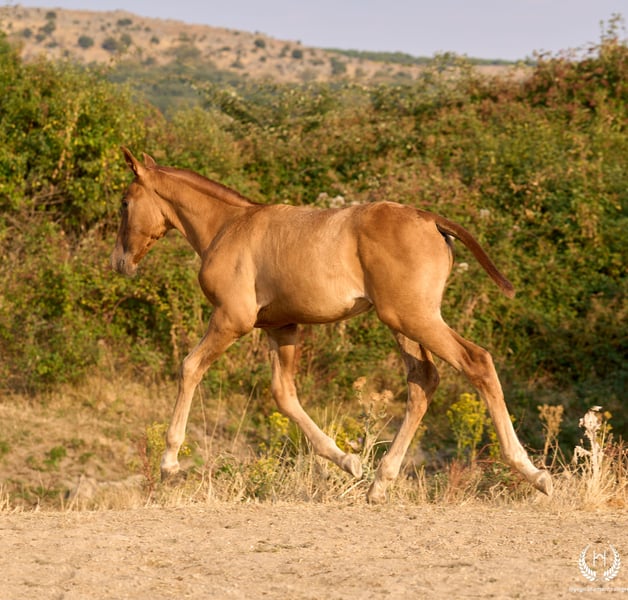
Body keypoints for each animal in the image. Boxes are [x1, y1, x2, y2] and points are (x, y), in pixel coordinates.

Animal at [111, 147, 552, 502]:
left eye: (125, 203)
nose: (119, 262)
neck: (227, 226)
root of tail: (430, 219)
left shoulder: (231, 319)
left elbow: (189, 367)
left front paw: (169, 464)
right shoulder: (282, 327)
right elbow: (284, 395)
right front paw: (348, 461)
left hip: (413, 317)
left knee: (476, 362)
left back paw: (532, 473)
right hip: (404, 321)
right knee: (423, 382)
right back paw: (379, 483)